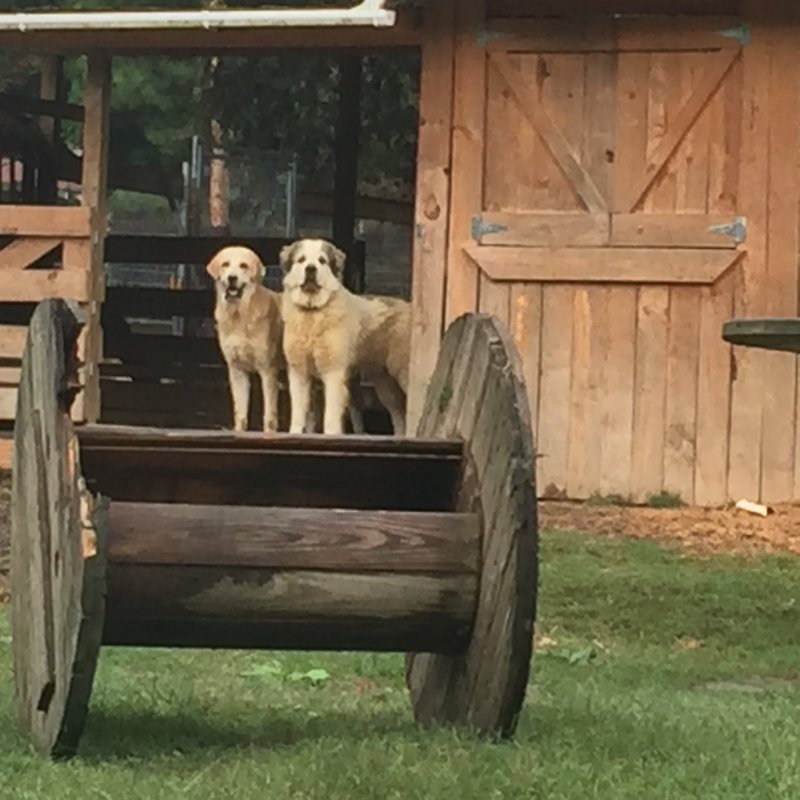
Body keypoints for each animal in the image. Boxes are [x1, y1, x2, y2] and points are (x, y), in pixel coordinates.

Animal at [278, 239, 410, 438]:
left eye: (322, 261)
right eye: (301, 260)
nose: (311, 268)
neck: (312, 314)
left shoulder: (334, 371)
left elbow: (331, 414)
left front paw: (331, 435)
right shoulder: (299, 371)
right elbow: (299, 412)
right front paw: (295, 434)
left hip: (401, 372)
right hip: (384, 382)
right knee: (399, 413)